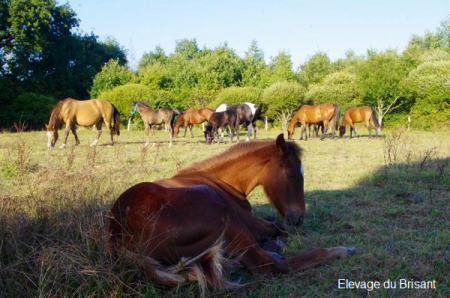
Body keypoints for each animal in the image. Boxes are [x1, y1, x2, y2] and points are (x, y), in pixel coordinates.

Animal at [106, 134, 356, 294]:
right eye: (292, 174)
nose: (299, 218)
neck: (221, 181)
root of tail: (119, 237)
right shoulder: (251, 224)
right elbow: (278, 228)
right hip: (224, 217)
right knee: (269, 266)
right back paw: (339, 251)